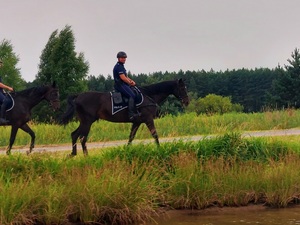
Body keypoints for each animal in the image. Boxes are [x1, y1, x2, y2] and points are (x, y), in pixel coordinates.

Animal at [59, 78, 189, 156]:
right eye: (182, 88)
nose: (187, 102)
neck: (149, 95)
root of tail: (78, 96)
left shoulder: (137, 122)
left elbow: (131, 137)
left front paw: (127, 150)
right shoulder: (148, 119)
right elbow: (155, 135)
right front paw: (160, 149)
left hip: (84, 121)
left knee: (75, 135)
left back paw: (73, 154)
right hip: (87, 121)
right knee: (82, 138)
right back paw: (86, 156)